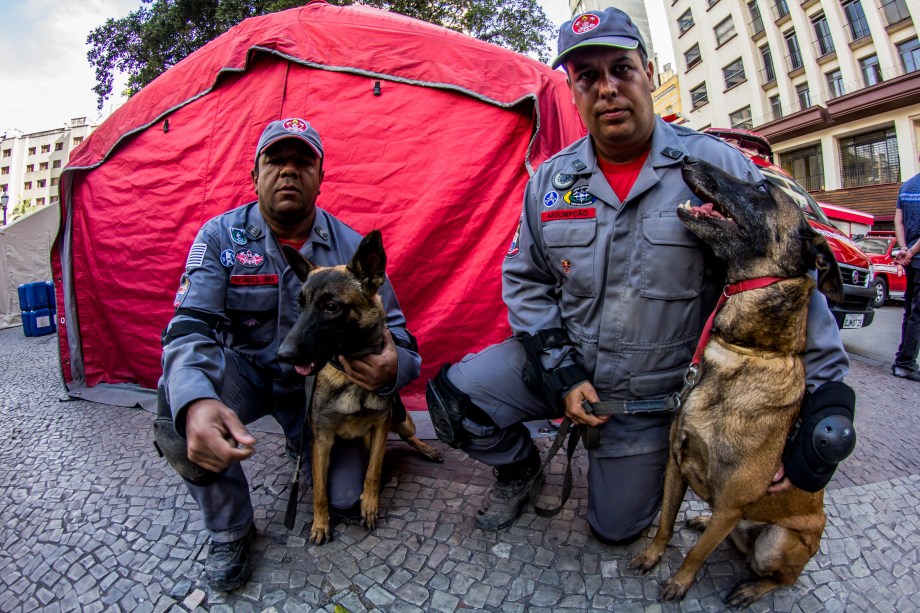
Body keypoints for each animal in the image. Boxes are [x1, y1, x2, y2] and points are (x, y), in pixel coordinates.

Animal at [276, 231, 442, 544]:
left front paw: (370, 504)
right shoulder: (322, 441)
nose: (283, 355)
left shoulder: (380, 426)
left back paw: (426, 449)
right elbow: (320, 490)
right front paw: (320, 523)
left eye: (331, 307)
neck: (349, 377)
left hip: (403, 420)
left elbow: (373, 471)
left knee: (408, 437)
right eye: (301, 304)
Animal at [628, 158, 844, 608]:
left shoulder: (732, 505)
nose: (686, 159)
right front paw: (653, 556)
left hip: (776, 542)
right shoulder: (675, 465)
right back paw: (700, 519)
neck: (743, 350)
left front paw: (680, 582)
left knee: (784, 577)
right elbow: (665, 523)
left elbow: (697, 554)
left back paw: (750, 589)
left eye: (762, 187)